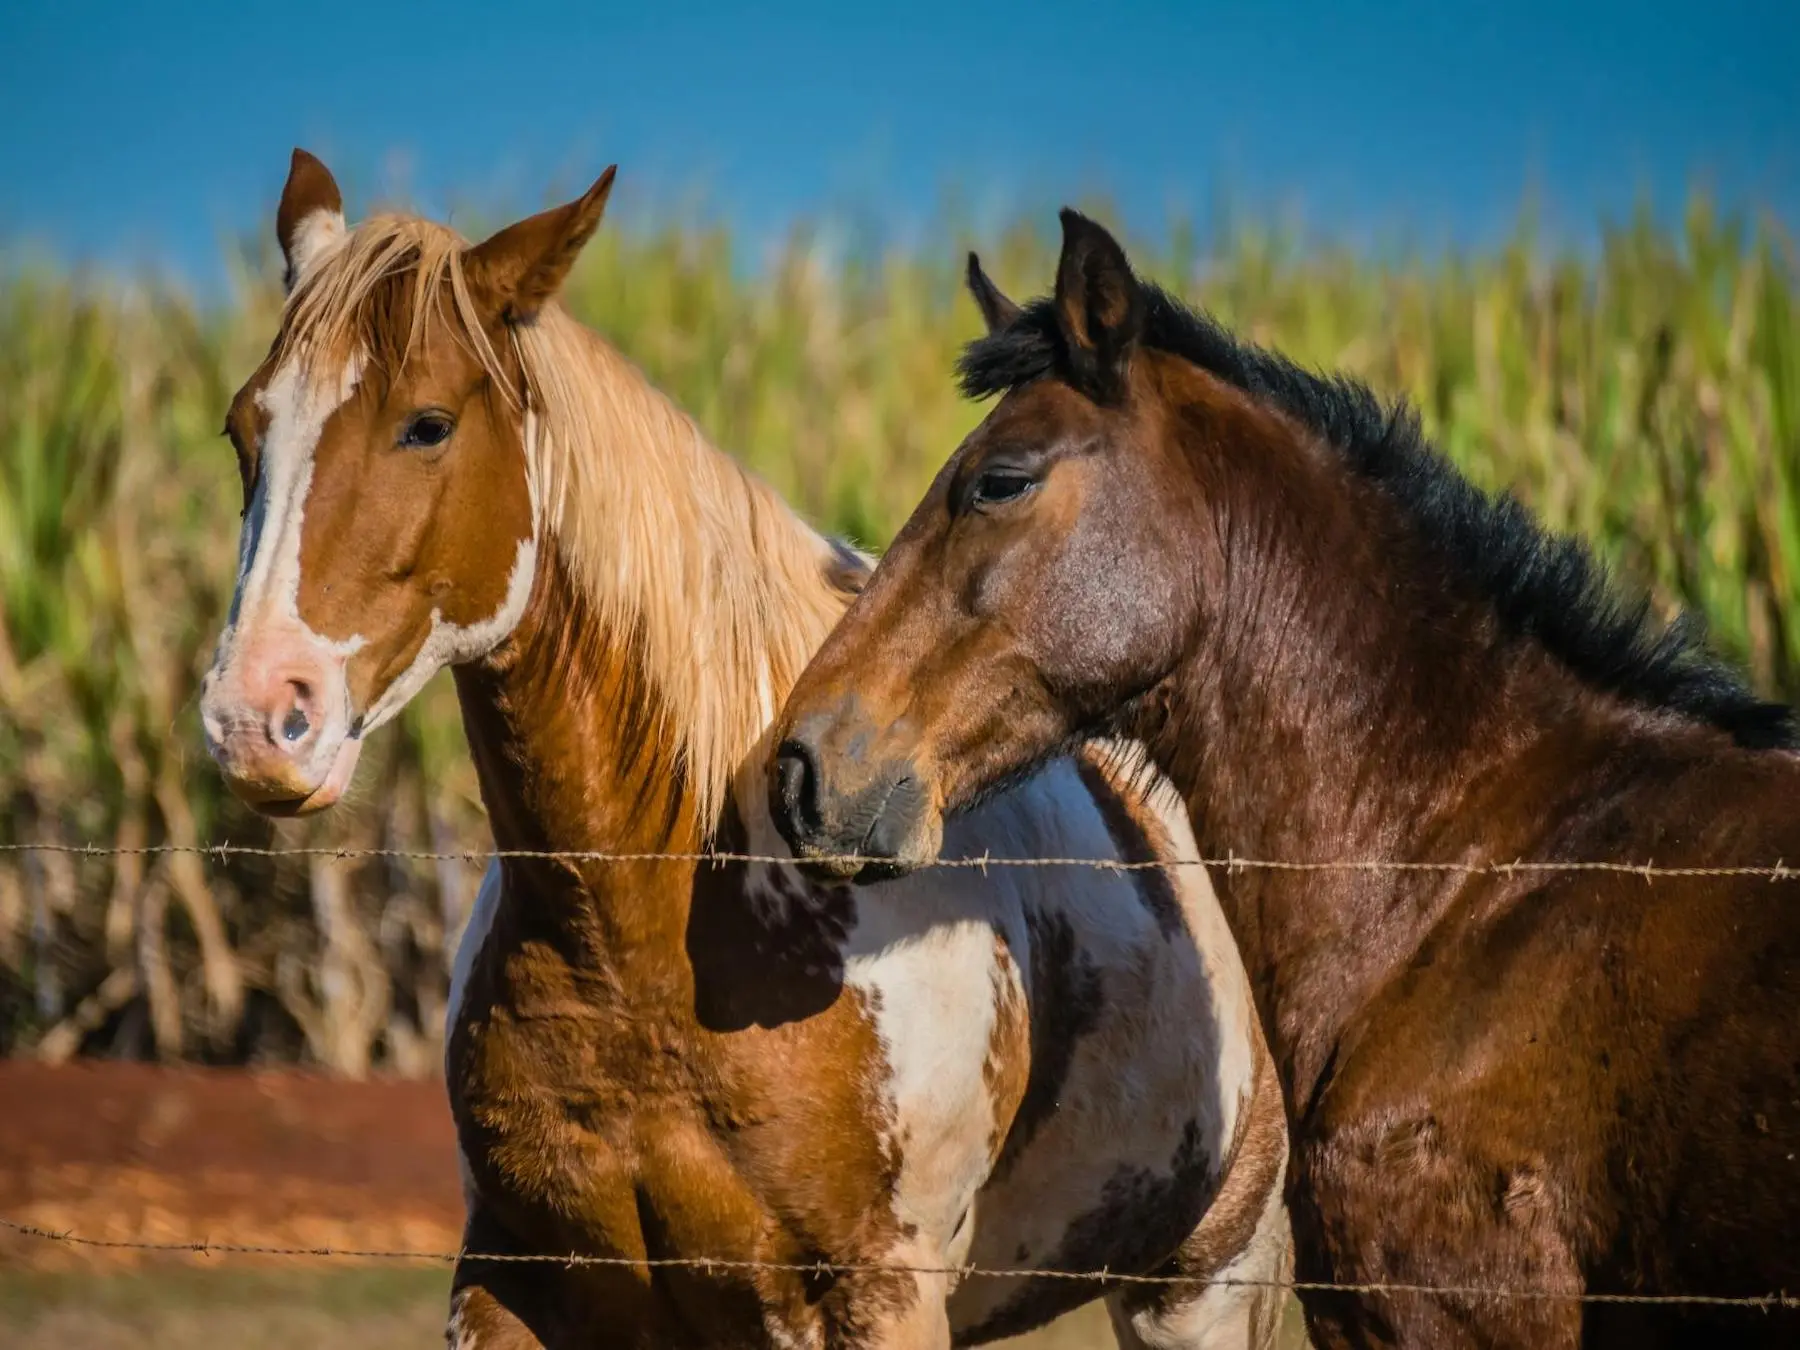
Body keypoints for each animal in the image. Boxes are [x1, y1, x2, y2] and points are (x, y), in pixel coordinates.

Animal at [197, 153, 1296, 1346]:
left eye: (428, 425)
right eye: (242, 430)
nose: (259, 716)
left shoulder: (882, 1296)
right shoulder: (507, 1283)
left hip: (1200, 1286)